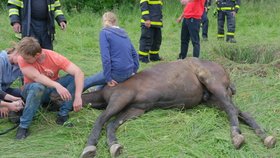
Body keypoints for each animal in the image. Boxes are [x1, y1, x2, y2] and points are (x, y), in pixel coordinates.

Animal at [79, 57, 276, 157]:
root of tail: (222, 69)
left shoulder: (121, 97)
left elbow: (102, 119)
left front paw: (90, 146)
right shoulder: (136, 109)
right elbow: (113, 124)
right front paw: (114, 145)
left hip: (214, 84)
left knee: (231, 110)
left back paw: (237, 136)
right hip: (213, 99)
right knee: (240, 111)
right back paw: (265, 136)